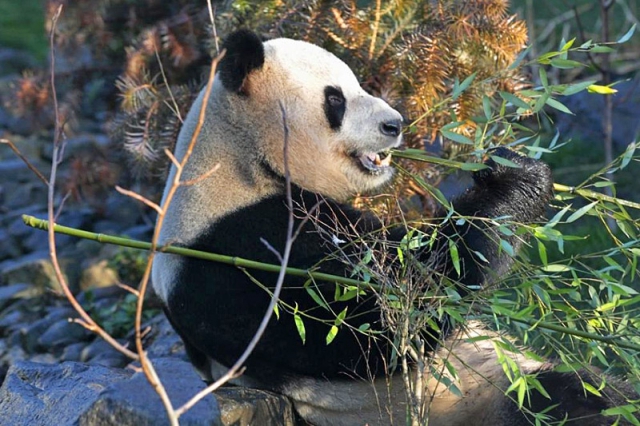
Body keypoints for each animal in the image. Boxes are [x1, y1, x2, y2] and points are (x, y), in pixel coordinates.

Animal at [151, 30, 636, 426]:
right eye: (336, 99)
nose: (394, 125)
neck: (240, 161)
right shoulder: (240, 253)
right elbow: (390, 311)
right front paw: (514, 179)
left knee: (595, 390)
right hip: (475, 401)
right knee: (560, 402)